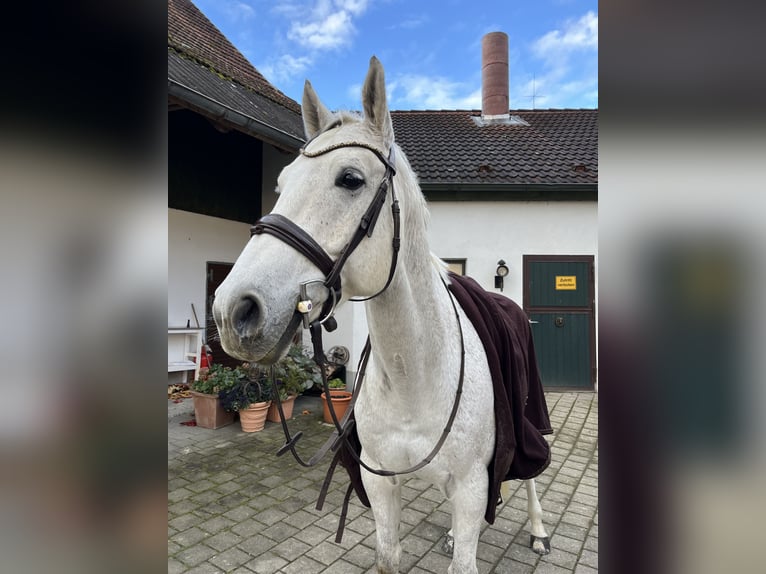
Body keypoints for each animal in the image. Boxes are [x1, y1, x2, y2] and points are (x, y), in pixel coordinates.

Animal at [216, 55, 548, 574]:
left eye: (351, 179)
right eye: (281, 184)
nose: (235, 310)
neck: (415, 374)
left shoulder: (473, 487)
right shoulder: (380, 485)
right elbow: (389, 555)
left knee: (533, 475)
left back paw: (538, 532)